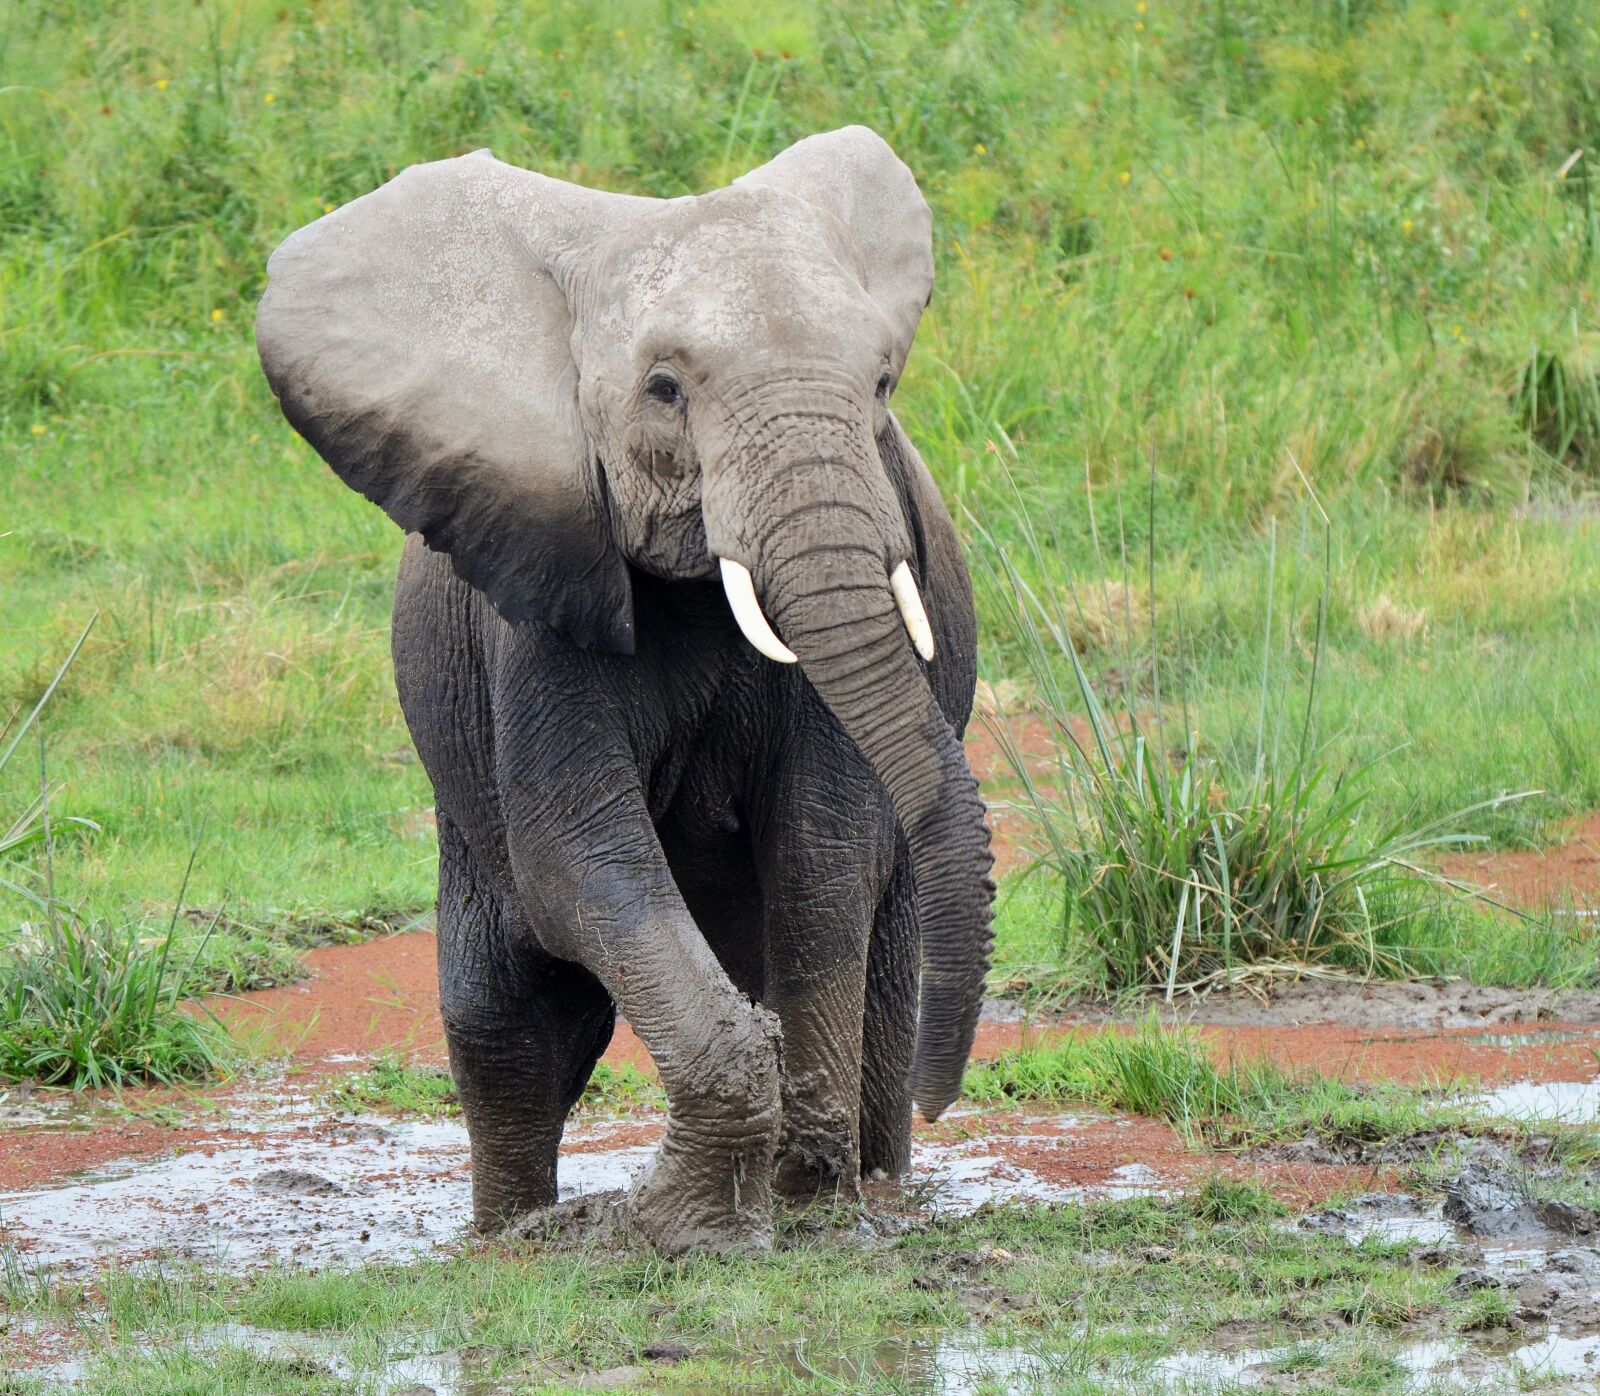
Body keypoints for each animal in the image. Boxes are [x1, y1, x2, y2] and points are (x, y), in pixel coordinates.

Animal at [254, 126, 994, 1254]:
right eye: (665, 390)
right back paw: (507, 1233)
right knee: (509, 1020)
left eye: (879, 388)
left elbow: (823, 846)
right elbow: (581, 859)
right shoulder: (540, 591)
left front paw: (797, 1194)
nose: (941, 1094)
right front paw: (679, 1223)